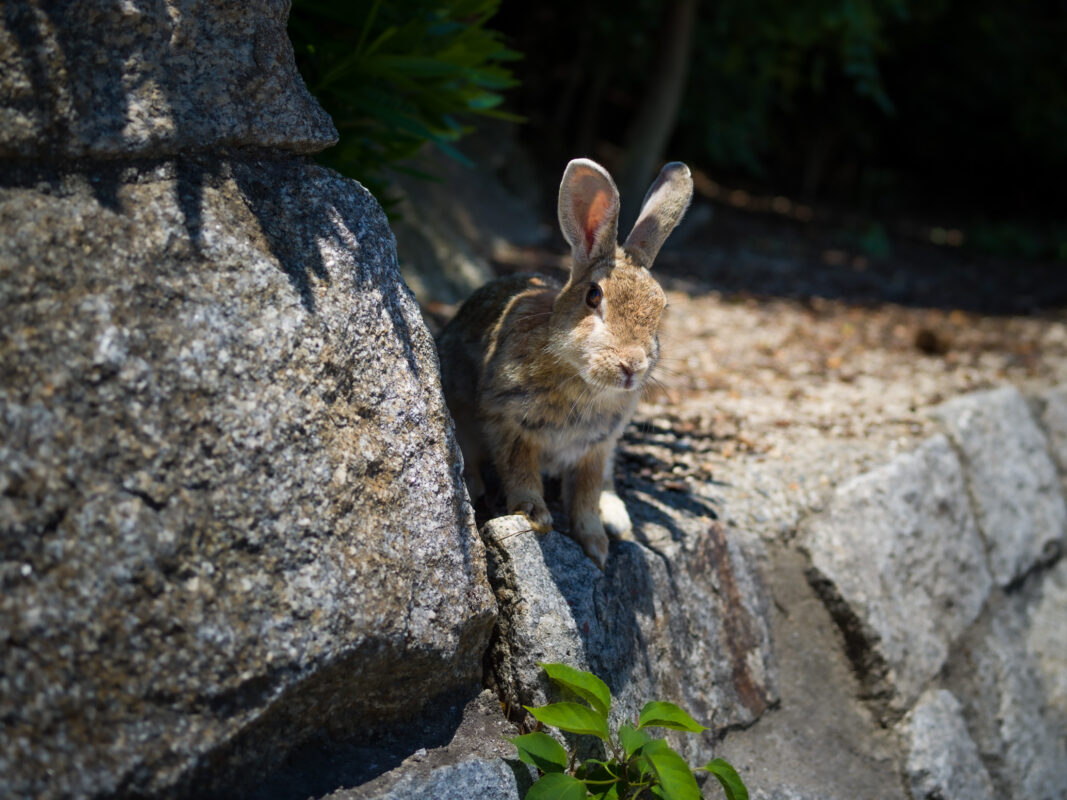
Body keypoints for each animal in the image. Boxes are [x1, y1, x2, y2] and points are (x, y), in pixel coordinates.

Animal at [436, 158, 694, 568]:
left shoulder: (596, 448)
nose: (632, 365)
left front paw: (596, 546)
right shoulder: (510, 422)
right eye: (594, 296)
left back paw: (616, 519)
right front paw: (535, 515)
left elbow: (586, 493)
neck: (581, 378)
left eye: (661, 309)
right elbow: (520, 472)